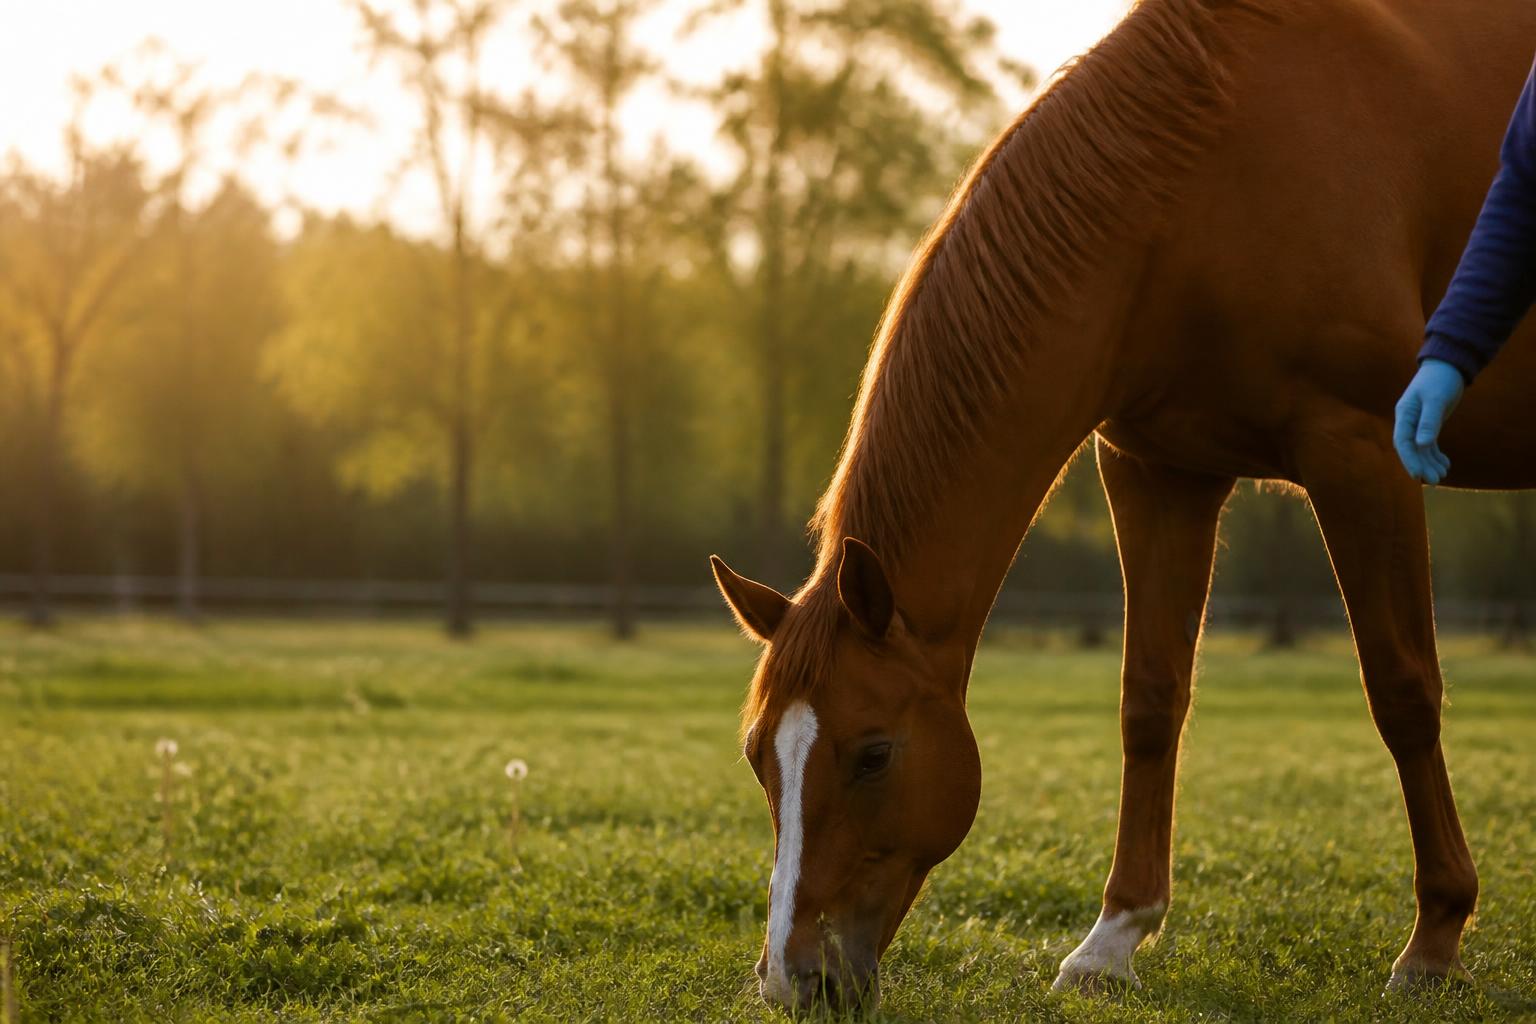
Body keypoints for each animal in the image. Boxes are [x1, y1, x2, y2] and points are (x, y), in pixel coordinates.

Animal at [710, 0, 1536, 1011]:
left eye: (874, 753)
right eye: (760, 755)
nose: (794, 981)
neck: (1201, 182)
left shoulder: (1363, 453)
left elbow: (1404, 692)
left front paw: (1434, 943)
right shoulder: (1156, 470)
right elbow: (1150, 698)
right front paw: (1111, 941)